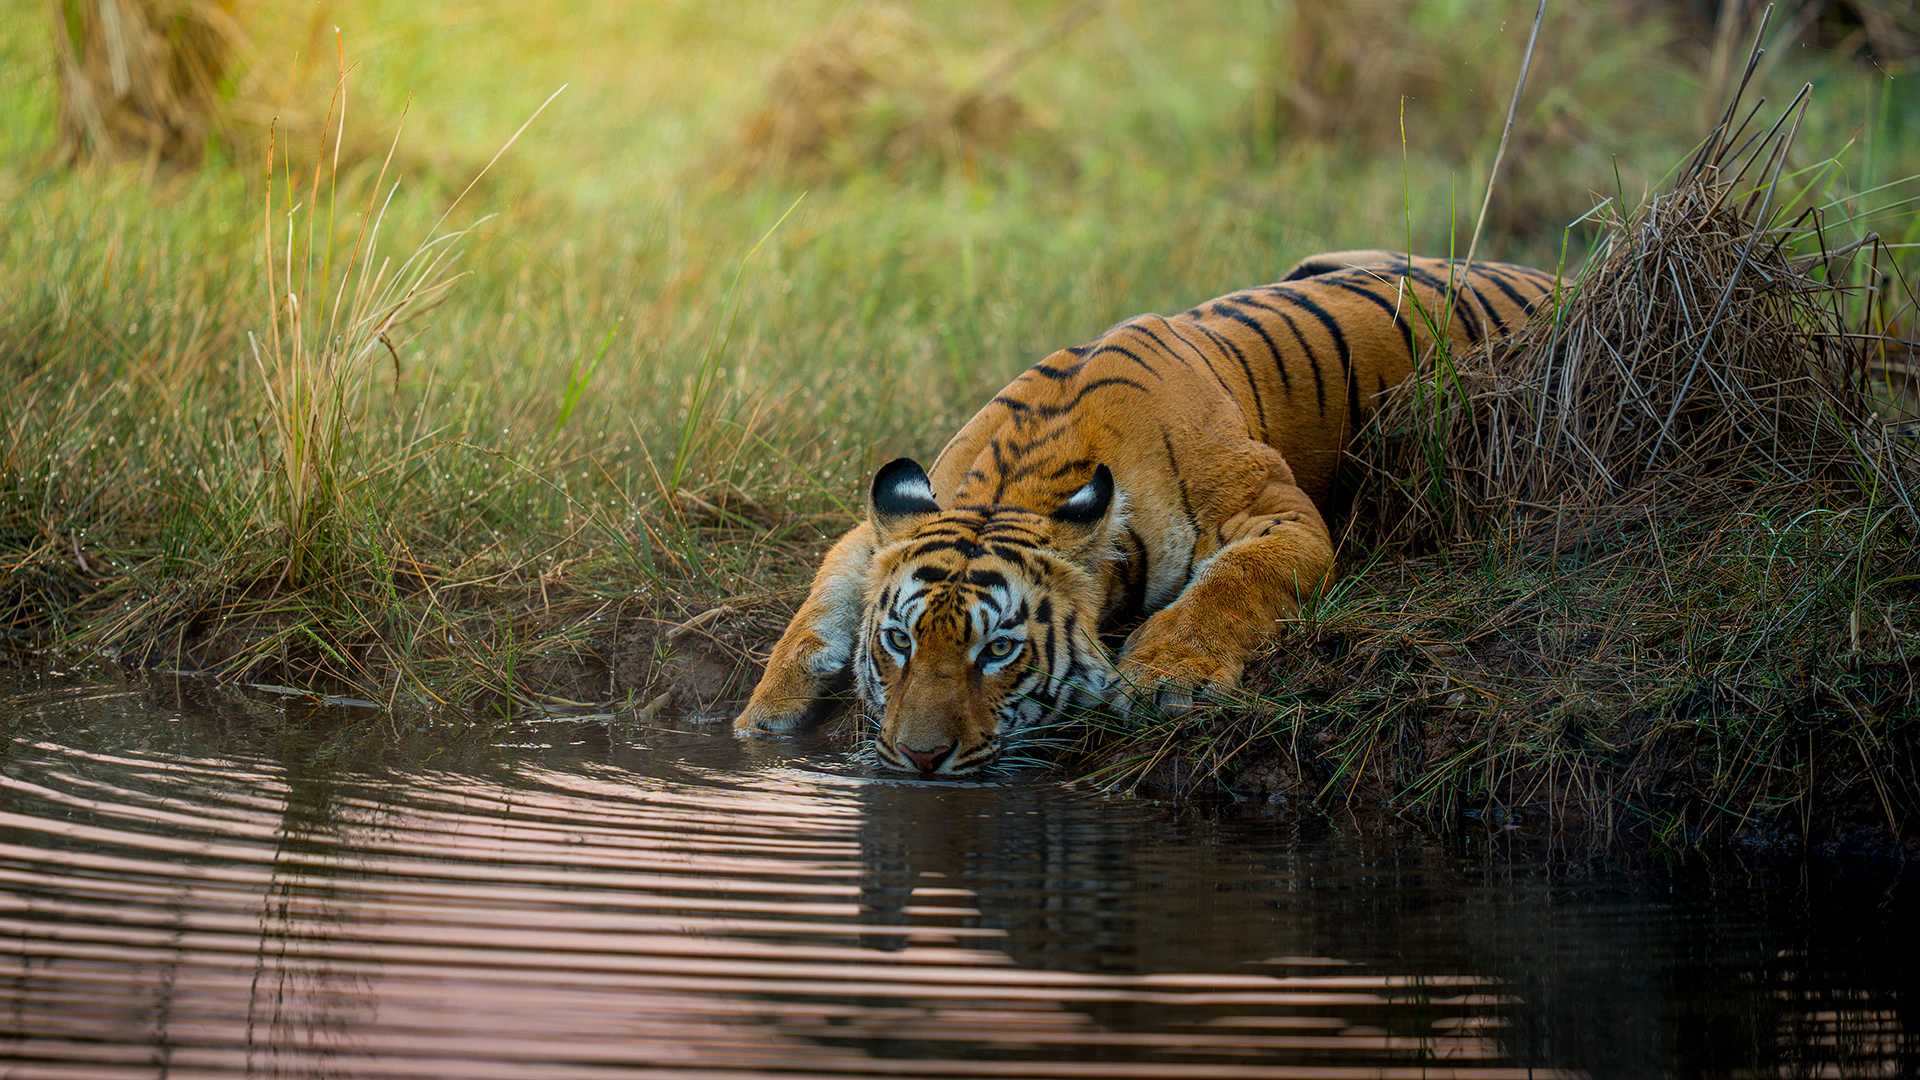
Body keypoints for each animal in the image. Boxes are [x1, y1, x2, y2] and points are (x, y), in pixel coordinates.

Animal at [733, 250, 1557, 774]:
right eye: (899, 641)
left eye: (998, 651)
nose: (918, 757)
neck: (1017, 484)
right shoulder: (879, 527)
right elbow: (819, 600)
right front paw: (762, 714)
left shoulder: (1277, 512)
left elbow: (1232, 583)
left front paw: (1165, 677)